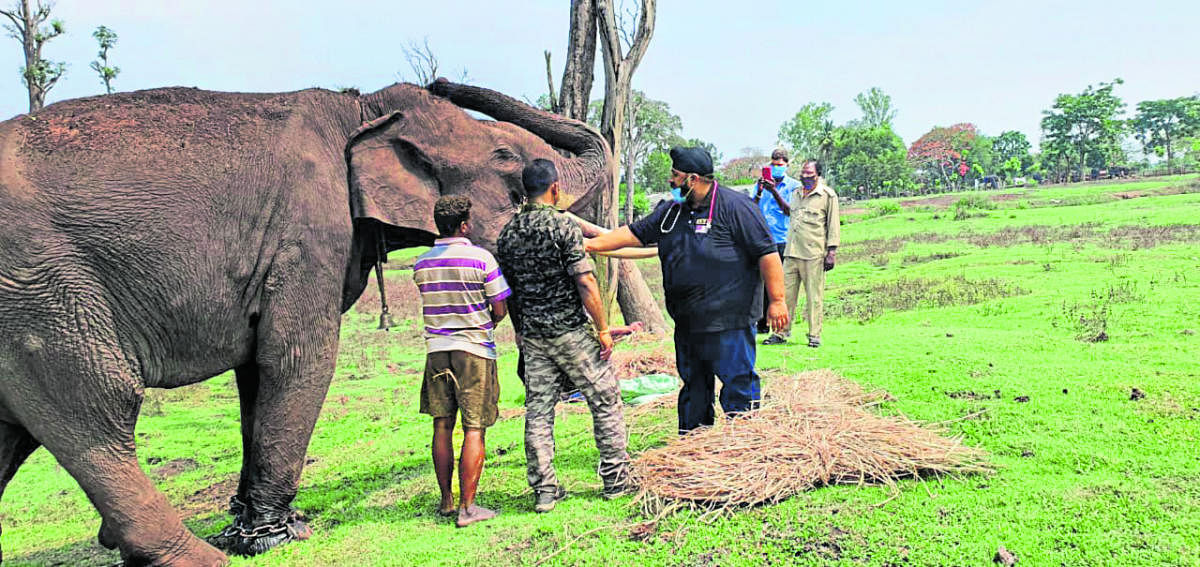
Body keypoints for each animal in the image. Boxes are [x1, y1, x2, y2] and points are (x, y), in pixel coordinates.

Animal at [0, 81, 609, 567]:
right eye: (506, 160)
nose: (442, 78)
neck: (360, 108)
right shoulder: (308, 234)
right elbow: (295, 359)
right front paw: (274, 538)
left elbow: (254, 373)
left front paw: (250, 524)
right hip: (39, 288)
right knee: (98, 404)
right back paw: (192, 556)